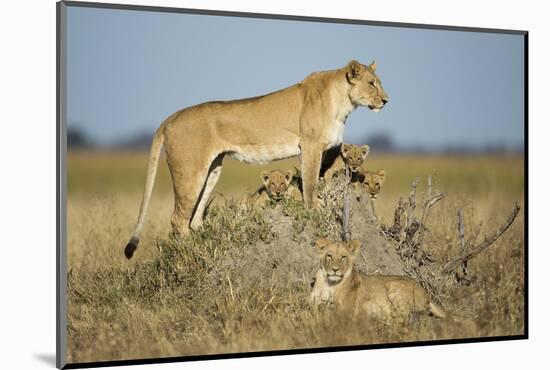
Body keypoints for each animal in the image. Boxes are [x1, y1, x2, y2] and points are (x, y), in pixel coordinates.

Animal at [126, 60, 392, 258]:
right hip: (190, 173)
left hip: (212, 170)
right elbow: (310, 183)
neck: (344, 103)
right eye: (372, 84)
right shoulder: (310, 145)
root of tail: (170, 118)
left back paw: (206, 241)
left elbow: (323, 177)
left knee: (195, 217)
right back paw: (193, 251)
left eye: (379, 83)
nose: (386, 100)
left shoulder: (328, 149)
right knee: (178, 220)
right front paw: (315, 210)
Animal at [310, 237, 448, 320]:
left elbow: (330, 313)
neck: (328, 284)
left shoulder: (345, 310)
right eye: (329, 256)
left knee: (405, 315)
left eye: (343, 257)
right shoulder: (313, 302)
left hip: (394, 286)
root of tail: (426, 292)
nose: (335, 269)